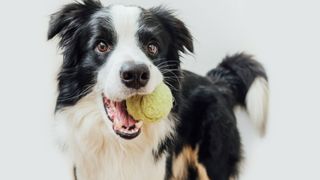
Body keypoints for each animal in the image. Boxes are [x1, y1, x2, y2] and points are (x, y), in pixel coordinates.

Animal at [47, 0, 268, 179]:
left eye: (152, 47)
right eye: (102, 46)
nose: (136, 74)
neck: (121, 146)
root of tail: (216, 82)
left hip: (213, 160)